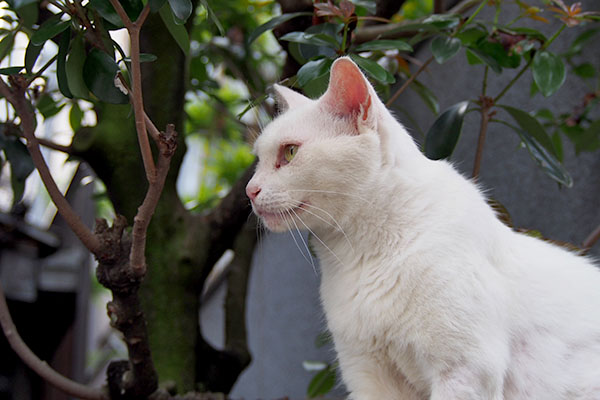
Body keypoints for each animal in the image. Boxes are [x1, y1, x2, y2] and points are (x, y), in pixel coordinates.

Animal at [244, 57, 600, 400]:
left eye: (290, 152)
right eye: (258, 160)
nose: (249, 190)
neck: (357, 256)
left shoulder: (464, 371)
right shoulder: (370, 379)